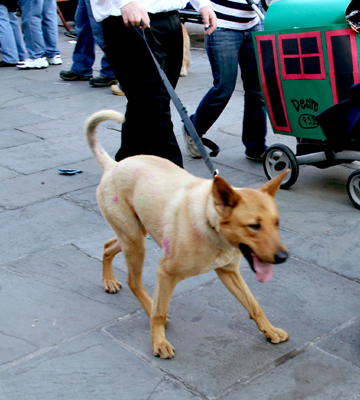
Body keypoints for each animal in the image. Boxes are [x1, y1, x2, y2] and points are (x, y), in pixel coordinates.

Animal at [86, 110, 292, 360]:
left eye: (277, 223)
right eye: (254, 226)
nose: (283, 257)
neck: (211, 225)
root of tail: (113, 165)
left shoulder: (228, 272)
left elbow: (254, 305)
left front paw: (270, 331)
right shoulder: (165, 273)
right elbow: (159, 313)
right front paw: (159, 342)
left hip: (134, 234)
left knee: (108, 245)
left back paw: (108, 280)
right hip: (135, 242)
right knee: (134, 282)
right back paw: (145, 307)